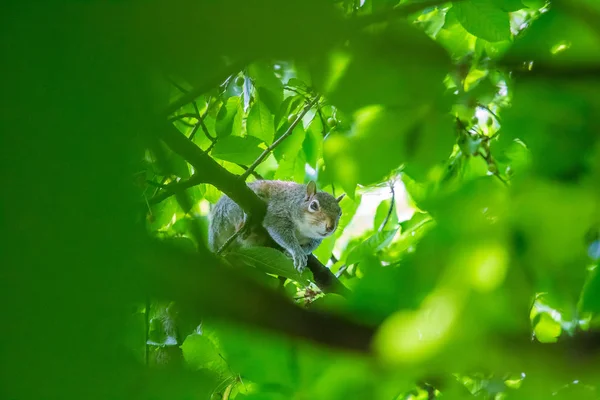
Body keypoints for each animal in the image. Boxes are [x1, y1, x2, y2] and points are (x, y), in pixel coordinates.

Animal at [210, 181, 342, 272]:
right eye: (313, 206)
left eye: (340, 213)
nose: (330, 227)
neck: (304, 229)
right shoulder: (279, 211)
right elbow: (279, 230)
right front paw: (297, 252)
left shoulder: (315, 239)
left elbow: (310, 247)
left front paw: (299, 252)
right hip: (232, 206)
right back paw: (247, 221)